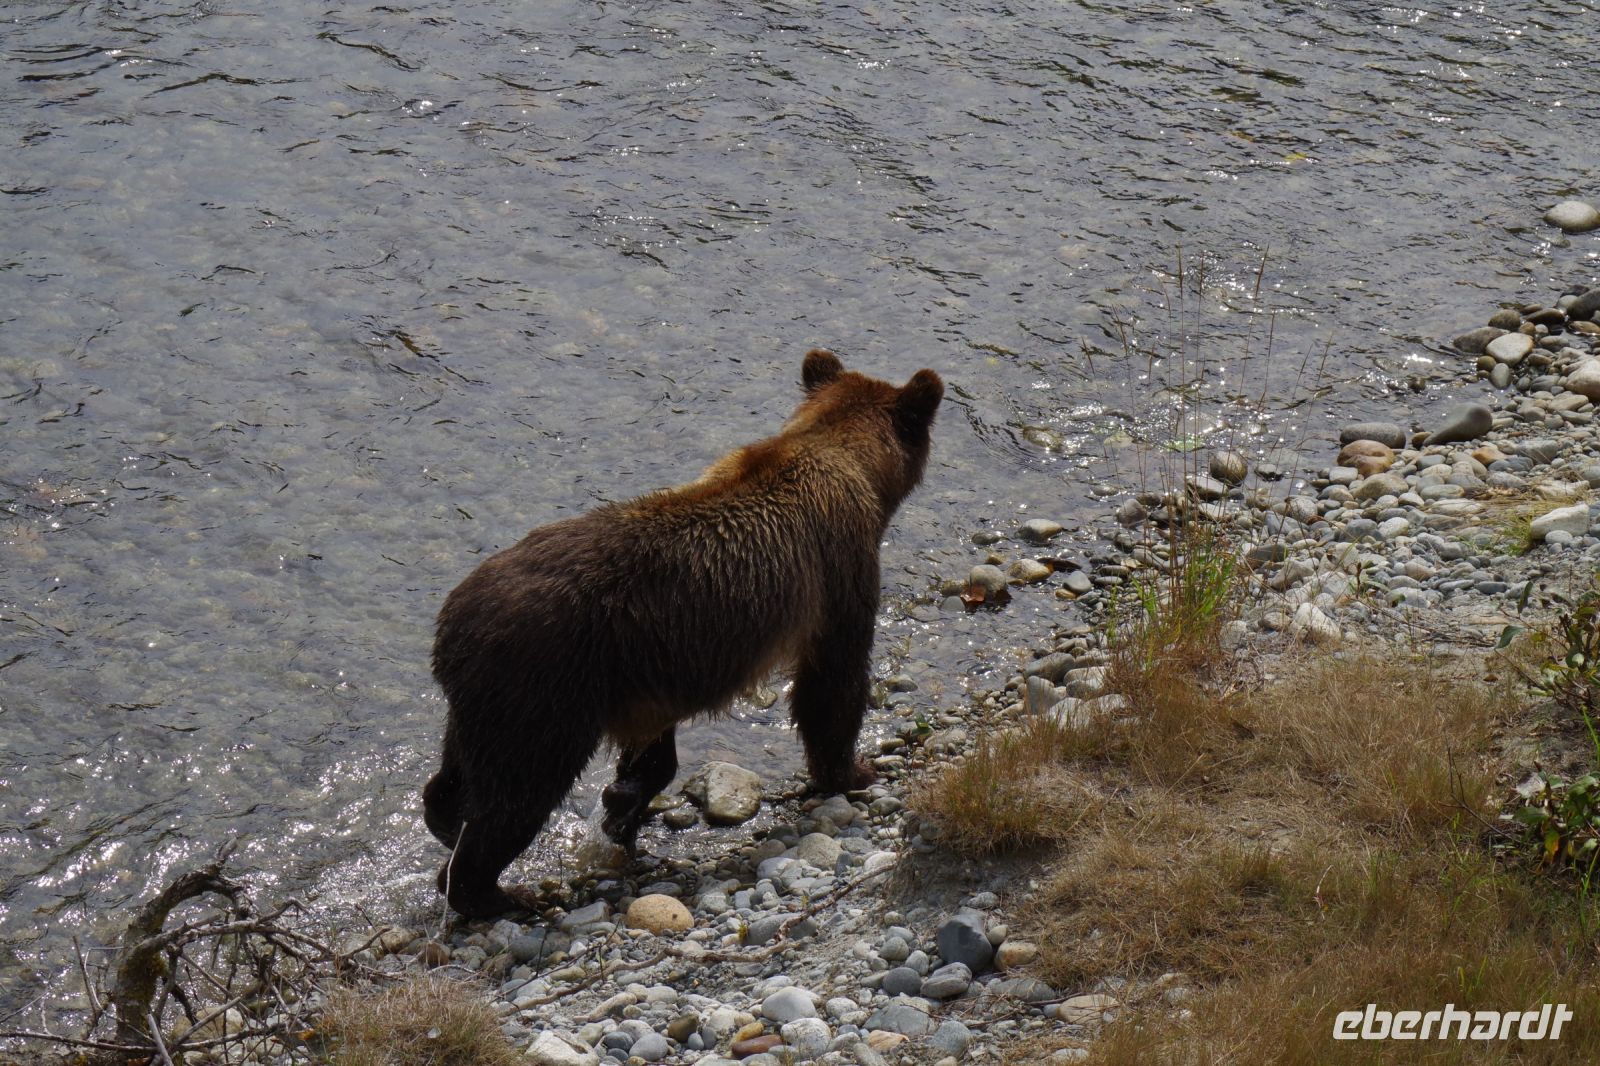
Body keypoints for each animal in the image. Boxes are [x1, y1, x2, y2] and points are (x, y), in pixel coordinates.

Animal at [422, 349, 943, 918]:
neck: (852, 466)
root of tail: (451, 621)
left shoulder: (654, 664)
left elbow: (653, 746)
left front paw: (624, 800)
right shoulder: (839, 570)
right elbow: (832, 680)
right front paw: (853, 772)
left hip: (488, 698)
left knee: (459, 770)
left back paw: (445, 818)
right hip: (543, 684)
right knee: (520, 791)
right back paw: (500, 893)